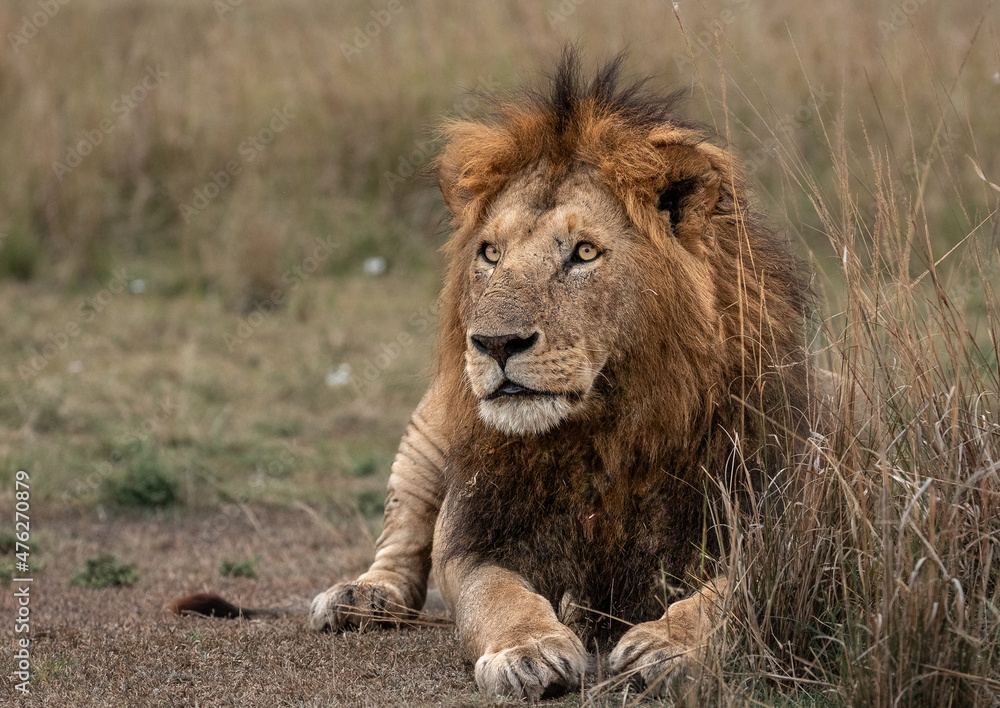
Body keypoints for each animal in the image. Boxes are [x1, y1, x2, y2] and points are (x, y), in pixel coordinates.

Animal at [176, 52, 840, 700]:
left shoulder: (774, 531)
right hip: (427, 430)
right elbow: (495, 596)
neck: (604, 436)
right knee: (402, 544)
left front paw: (666, 648)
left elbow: (729, 596)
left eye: (584, 252)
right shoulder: (475, 536)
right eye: (490, 253)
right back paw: (360, 599)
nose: (495, 343)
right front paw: (529, 652)